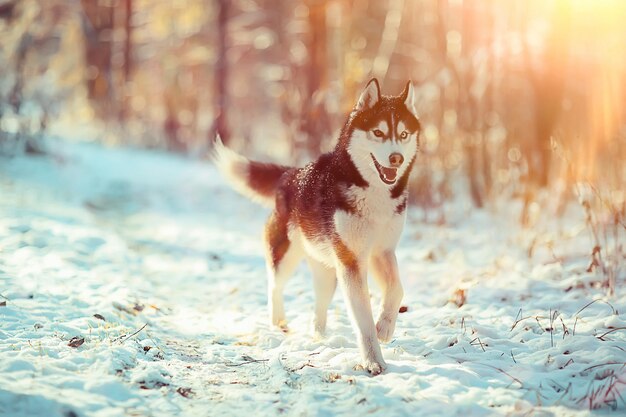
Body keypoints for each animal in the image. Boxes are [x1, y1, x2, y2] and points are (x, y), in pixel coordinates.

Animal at [212, 78, 422, 374]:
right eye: (378, 132)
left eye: (403, 134)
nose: (396, 159)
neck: (372, 191)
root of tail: (291, 174)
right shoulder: (352, 259)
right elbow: (363, 320)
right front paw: (373, 360)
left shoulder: (381, 252)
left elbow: (397, 289)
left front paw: (385, 327)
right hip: (286, 256)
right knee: (274, 286)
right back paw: (279, 323)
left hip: (328, 271)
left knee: (319, 304)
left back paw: (320, 336)